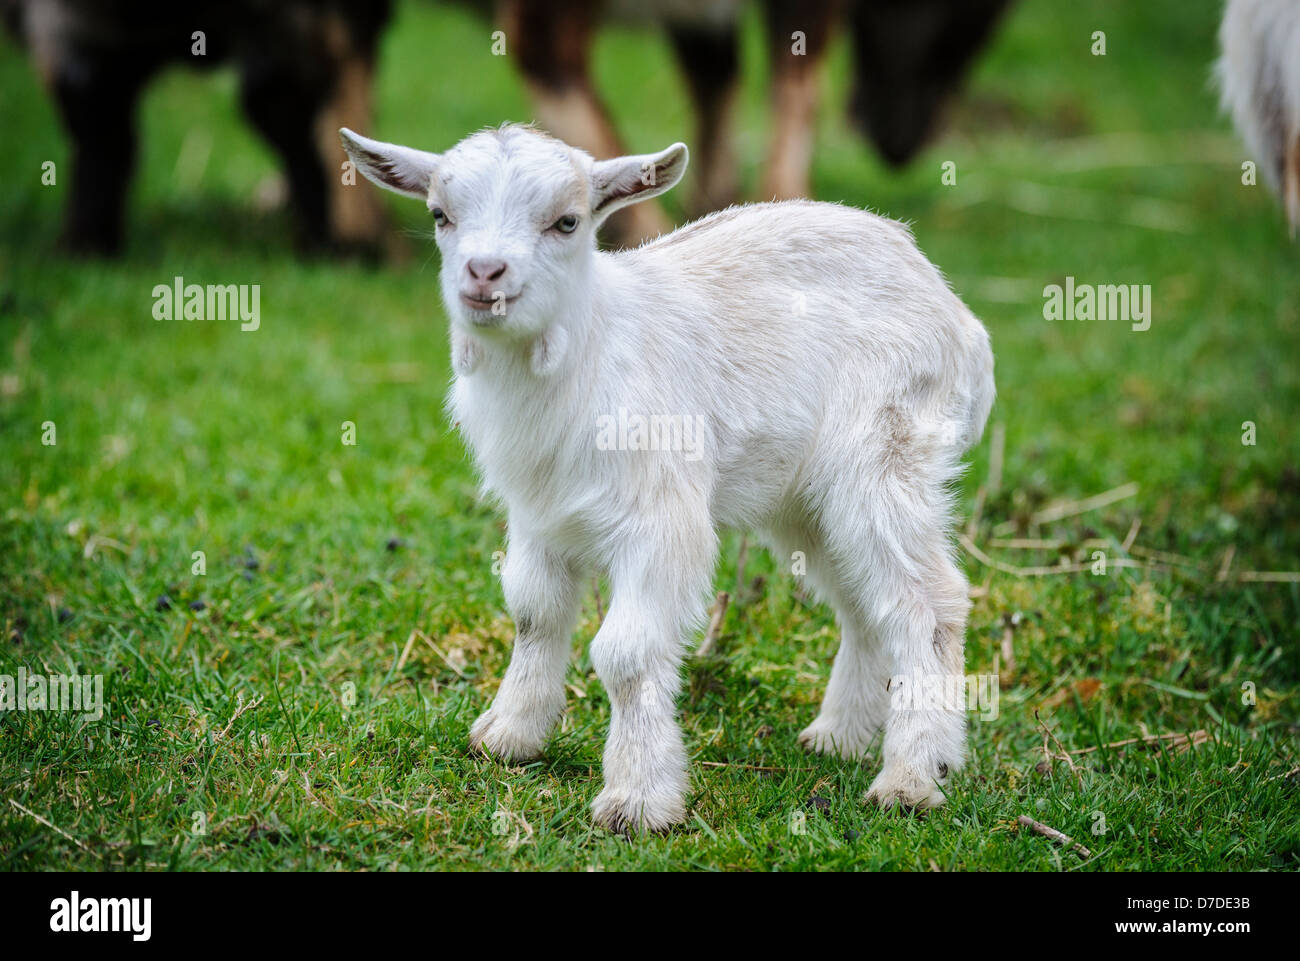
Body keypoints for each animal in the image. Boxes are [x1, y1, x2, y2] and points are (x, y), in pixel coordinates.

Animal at [340, 122, 995, 833]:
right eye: (440, 214)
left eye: (567, 221)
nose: (484, 274)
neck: (589, 350)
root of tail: (960, 319)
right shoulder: (539, 515)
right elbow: (534, 615)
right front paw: (509, 736)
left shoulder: (660, 519)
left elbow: (625, 655)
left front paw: (638, 800)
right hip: (805, 497)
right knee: (866, 604)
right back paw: (838, 738)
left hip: (885, 455)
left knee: (929, 602)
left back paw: (913, 777)